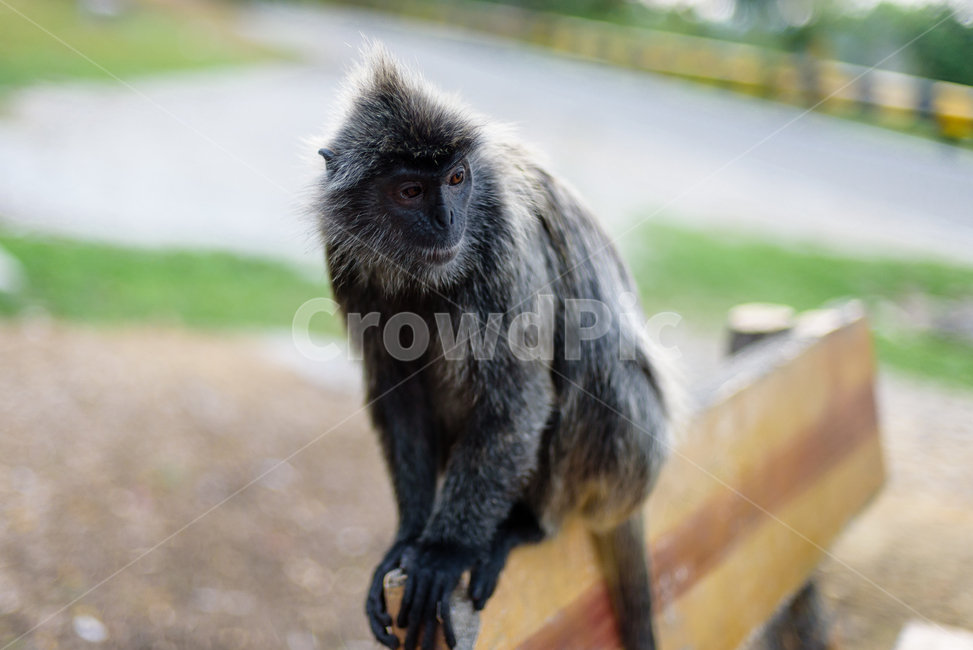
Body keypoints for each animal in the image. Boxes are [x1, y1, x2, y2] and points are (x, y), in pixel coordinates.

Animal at [314, 46, 672, 650]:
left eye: (456, 179)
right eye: (411, 191)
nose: (447, 219)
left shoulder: (505, 245)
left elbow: (520, 399)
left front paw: (444, 551)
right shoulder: (346, 259)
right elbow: (399, 397)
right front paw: (408, 538)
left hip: (633, 462)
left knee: (593, 357)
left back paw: (523, 527)